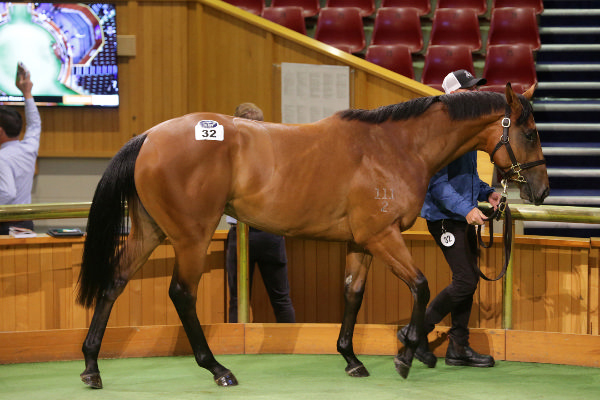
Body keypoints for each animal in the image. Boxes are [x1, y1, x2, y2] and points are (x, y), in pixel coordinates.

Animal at [76, 83, 548, 388]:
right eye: (529, 132)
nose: (541, 191)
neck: (395, 147)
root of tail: (149, 135)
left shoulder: (362, 242)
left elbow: (353, 294)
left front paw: (352, 358)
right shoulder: (383, 237)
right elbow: (420, 285)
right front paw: (407, 353)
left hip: (151, 231)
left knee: (114, 283)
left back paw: (92, 365)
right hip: (192, 236)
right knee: (181, 294)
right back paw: (217, 368)